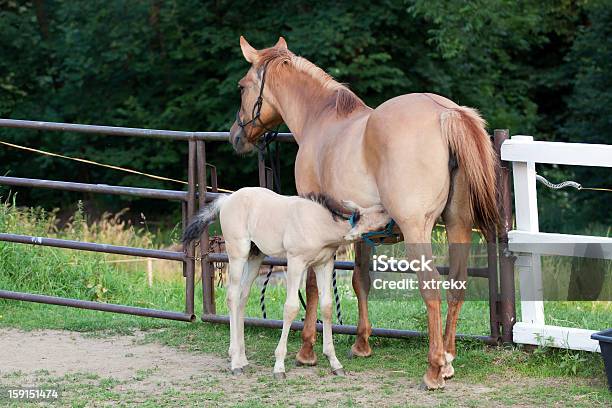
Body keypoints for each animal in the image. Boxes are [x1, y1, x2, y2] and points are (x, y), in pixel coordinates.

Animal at [184, 186, 390, 378]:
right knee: (232, 297)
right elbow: (291, 308)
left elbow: (327, 307)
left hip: (255, 256)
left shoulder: (324, 264)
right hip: (237, 253)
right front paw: (279, 366)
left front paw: (334, 362)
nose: (393, 214)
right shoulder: (295, 262)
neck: (319, 223)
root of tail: (227, 199)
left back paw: (242, 359)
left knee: (242, 297)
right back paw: (235, 362)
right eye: (380, 211)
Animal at [228, 35, 498, 388]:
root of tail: (446, 114)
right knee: (457, 285)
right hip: (458, 226)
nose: (236, 136)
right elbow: (360, 280)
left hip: (419, 230)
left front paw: (306, 351)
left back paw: (434, 368)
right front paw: (361, 343)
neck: (322, 120)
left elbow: (313, 286)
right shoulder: (361, 232)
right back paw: (449, 359)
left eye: (242, 87)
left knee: (431, 289)